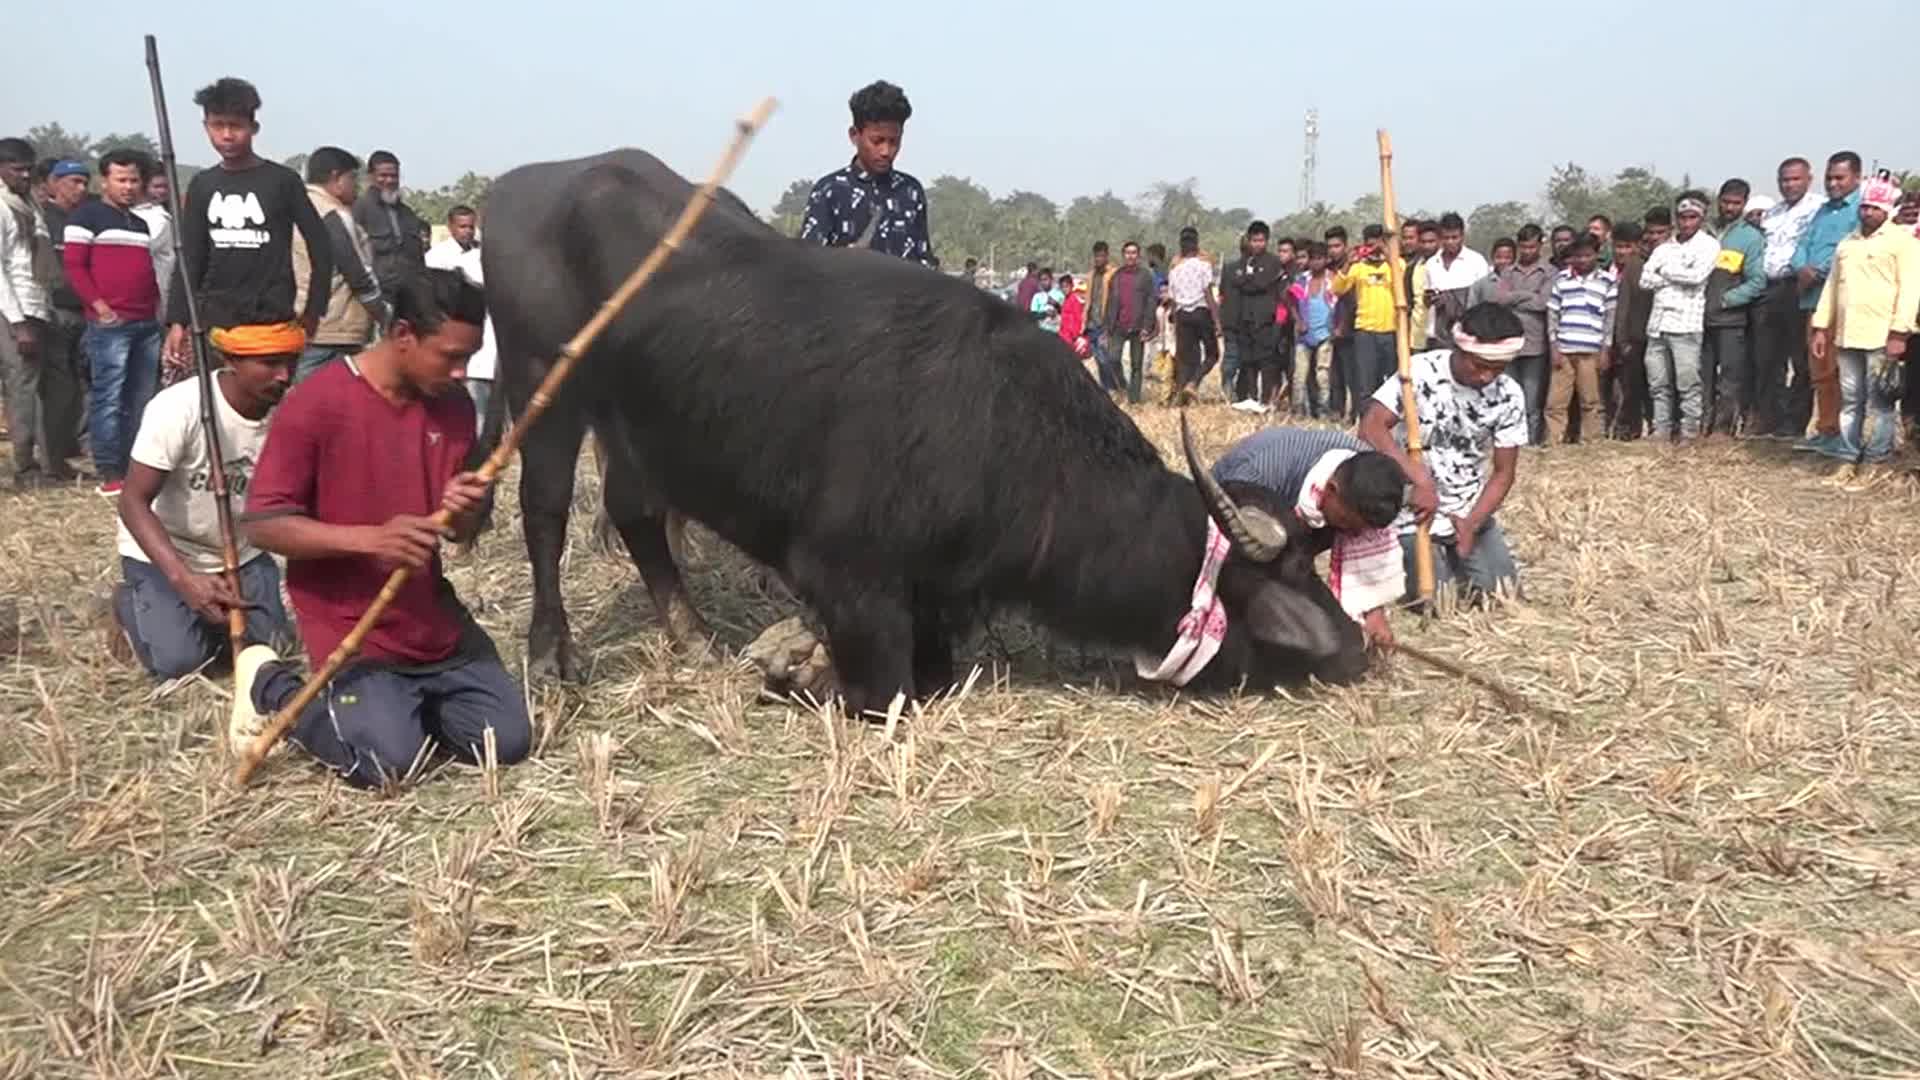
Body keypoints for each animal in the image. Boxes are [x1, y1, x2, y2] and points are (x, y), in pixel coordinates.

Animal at [480, 149, 1366, 716]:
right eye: (1289, 572)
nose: (1355, 648)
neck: (1010, 440)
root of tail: (523, 188)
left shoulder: (940, 596)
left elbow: (934, 673)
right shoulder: (847, 578)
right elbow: (887, 692)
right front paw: (793, 666)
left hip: (633, 428)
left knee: (635, 514)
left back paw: (692, 635)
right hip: (540, 383)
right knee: (544, 512)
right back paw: (550, 654)